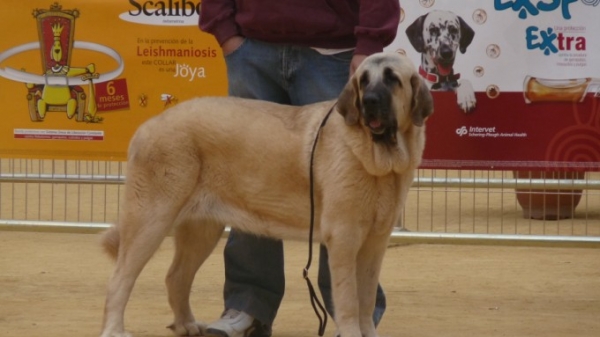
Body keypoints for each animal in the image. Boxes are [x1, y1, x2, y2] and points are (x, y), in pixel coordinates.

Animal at [101, 52, 434, 336]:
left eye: (392, 79)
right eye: (364, 81)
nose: (370, 101)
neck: (380, 160)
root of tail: (146, 126)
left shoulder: (375, 243)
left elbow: (366, 299)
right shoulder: (344, 238)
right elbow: (349, 299)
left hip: (201, 229)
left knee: (176, 276)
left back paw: (187, 324)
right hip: (150, 219)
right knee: (119, 280)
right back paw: (114, 329)